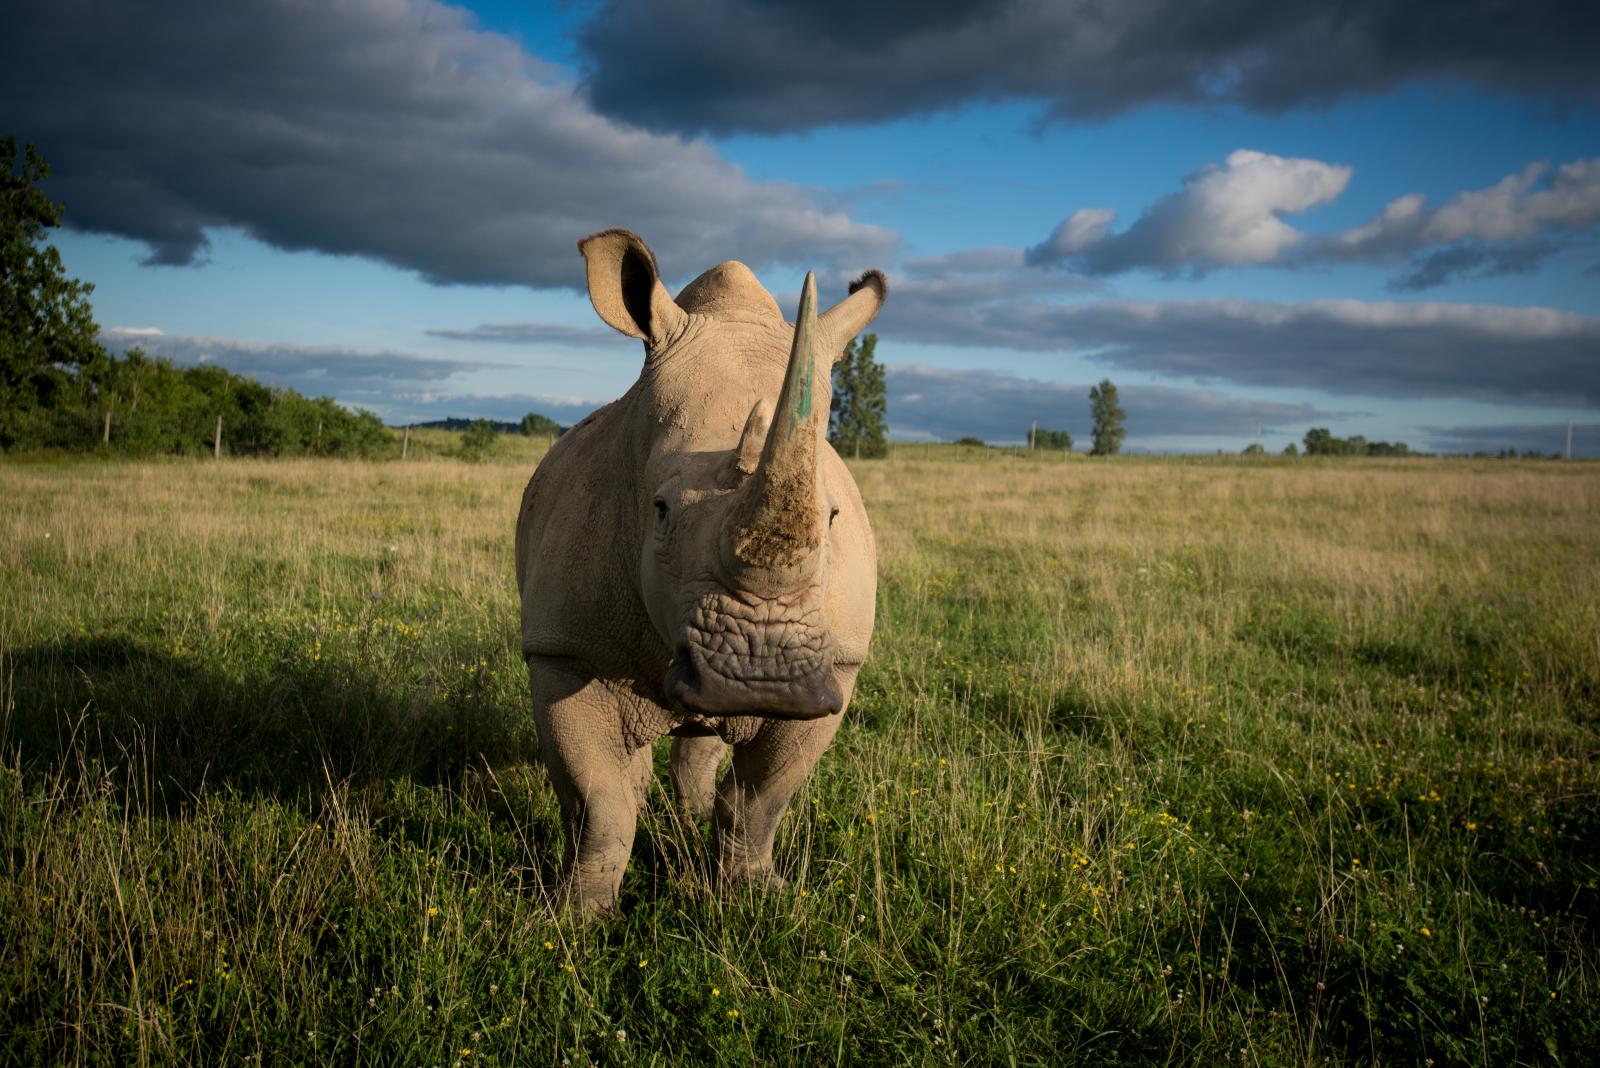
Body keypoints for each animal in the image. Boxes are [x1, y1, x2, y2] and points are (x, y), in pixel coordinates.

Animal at [518, 227, 889, 908]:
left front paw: (757, 895)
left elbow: (762, 799)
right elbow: (599, 801)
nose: (761, 676)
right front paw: (574, 915)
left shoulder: (840, 666)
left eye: (831, 517)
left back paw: (688, 819)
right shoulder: (563, 649)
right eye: (660, 510)